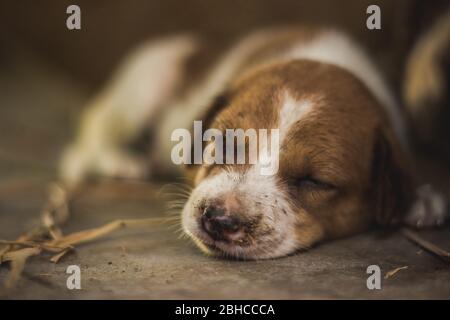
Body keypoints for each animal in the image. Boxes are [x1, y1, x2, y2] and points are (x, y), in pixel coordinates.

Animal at [61, 27, 448, 260]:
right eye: (222, 143)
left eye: (315, 181)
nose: (218, 220)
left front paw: (421, 198)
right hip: (144, 82)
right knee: (97, 126)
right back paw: (117, 160)